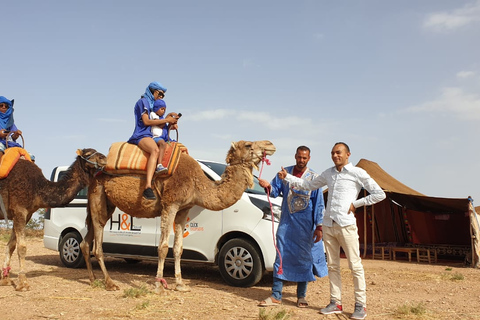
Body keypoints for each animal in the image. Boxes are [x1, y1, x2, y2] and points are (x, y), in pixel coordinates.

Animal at [0, 149, 107, 292]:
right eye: (88, 153)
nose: (103, 158)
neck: (38, 188)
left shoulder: (27, 213)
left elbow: (11, 245)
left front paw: (5, 279)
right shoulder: (19, 209)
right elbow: (22, 247)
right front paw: (23, 283)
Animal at [81, 140, 276, 292]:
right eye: (248, 144)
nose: (270, 145)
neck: (197, 184)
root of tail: (96, 172)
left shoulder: (184, 209)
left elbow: (178, 248)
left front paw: (181, 284)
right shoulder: (170, 204)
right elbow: (163, 247)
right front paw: (159, 286)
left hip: (106, 204)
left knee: (87, 240)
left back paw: (92, 278)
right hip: (98, 194)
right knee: (97, 243)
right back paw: (110, 283)